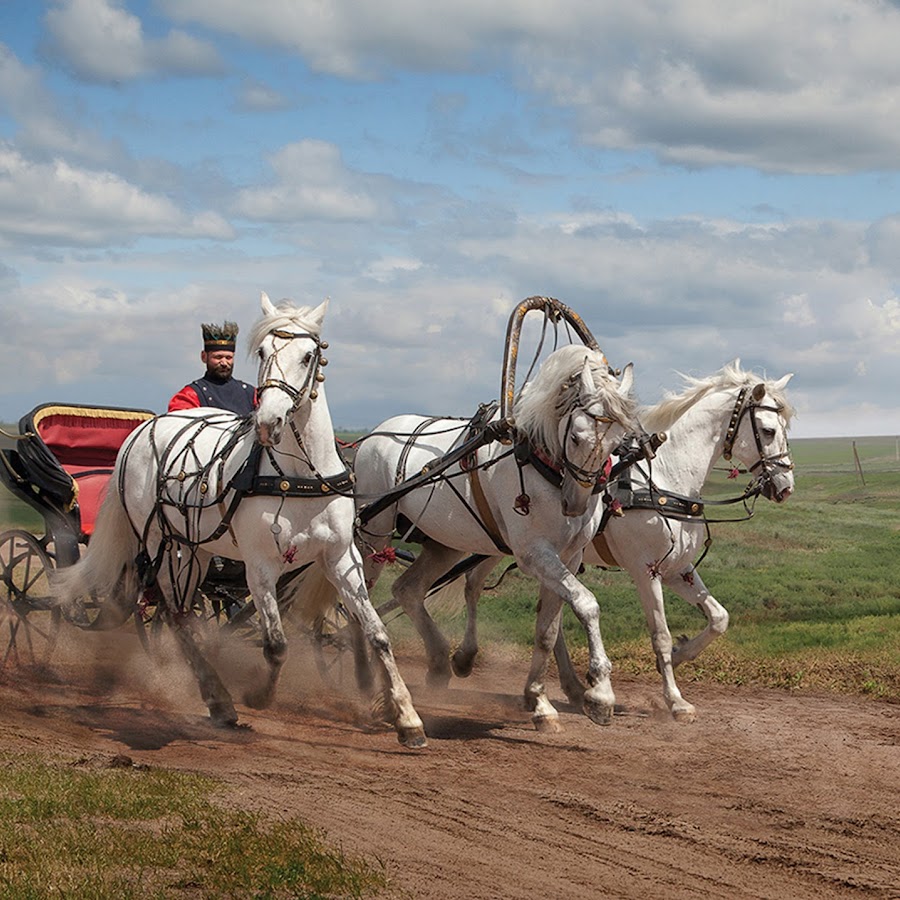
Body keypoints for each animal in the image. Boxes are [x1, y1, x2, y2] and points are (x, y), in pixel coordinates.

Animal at [52, 292, 426, 748]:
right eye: (263, 351)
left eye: (308, 356)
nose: (269, 421)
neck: (300, 475)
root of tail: (143, 432)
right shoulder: (261, 564)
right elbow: (276, 644)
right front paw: (259, 695)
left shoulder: (340, 557)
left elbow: (377, 634)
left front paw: (406, 717)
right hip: (166, 547)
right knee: (177, 616)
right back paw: (220, 699)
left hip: (193, 551)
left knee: (181, 615)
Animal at [354, 344, 640, 732]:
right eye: (576, 437)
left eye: (617, 441)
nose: (575, 503)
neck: (540, 463)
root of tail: (373, 436)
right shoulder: (535, 554)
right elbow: (586, 604)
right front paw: (600, 694)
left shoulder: (568, 556)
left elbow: (548, 631)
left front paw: (540, 701)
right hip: (375, 533)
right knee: (359, 599)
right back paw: (368, 679)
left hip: (445, 544)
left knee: (407, 590)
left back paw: (440, 662)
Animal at [454, 362, 792, 720]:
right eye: (768, 430)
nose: (785, 486)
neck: (665, 478)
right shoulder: (647, 570)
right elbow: (659, 634)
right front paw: (675, 699)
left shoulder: (678, 568)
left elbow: (719, 618)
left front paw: (681, 653)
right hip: (495, 543)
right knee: (473, 584)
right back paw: (464, 657)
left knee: (549, 617)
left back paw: (571, 686)